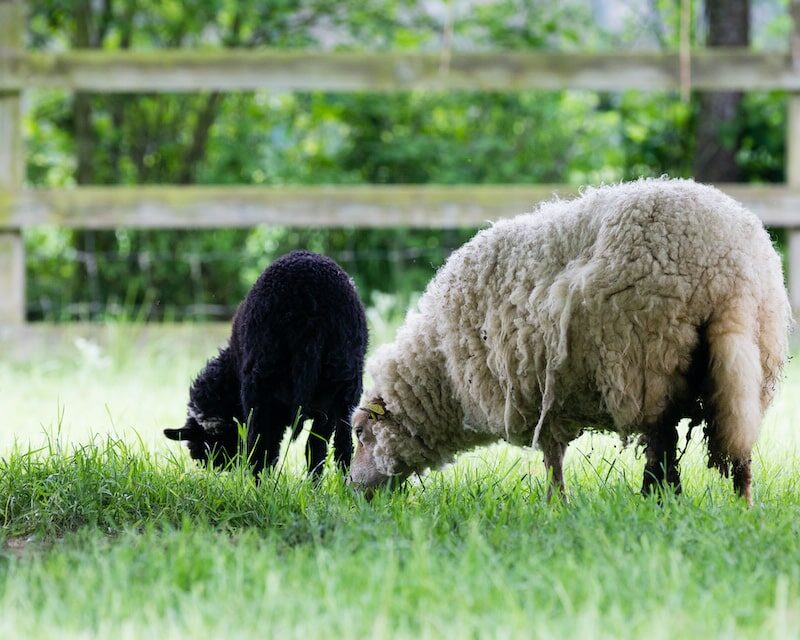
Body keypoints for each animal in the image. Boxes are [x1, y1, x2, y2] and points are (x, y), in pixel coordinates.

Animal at [166, 252, 372, 478]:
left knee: (262, 444)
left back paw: (257, 483)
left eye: (207, 444)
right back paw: (337, 482)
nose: (219, 468)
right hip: (342, 378)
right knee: (334, 445)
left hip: (263, 379)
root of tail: (310, 308)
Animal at [348, 178, 788, 502]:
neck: (442, 368)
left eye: (360, 434)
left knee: (660, 442)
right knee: (737, 444)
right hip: (746, 364)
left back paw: (655, 501)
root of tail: (728, 270)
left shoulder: (539, 394)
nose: (352, 488)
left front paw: (555, 505)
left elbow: (552, 458)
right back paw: (742, 505)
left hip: (646, 357)